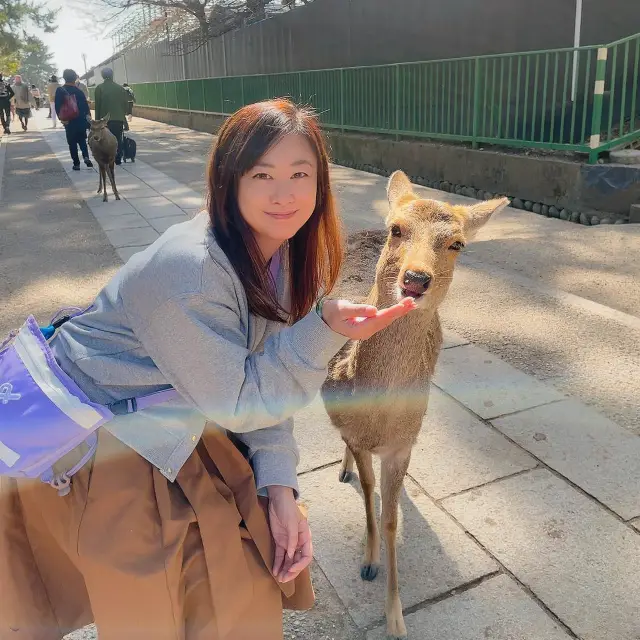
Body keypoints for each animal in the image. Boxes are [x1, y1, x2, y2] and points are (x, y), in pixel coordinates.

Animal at [320, 170, 508, 639]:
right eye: (397, 229)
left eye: (457, 243)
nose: (416, 279)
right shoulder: (358, 435)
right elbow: (369, 492)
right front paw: (367, 563)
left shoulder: (403, 444)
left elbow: (390, 518)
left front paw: (396, 616)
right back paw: (343, 468)